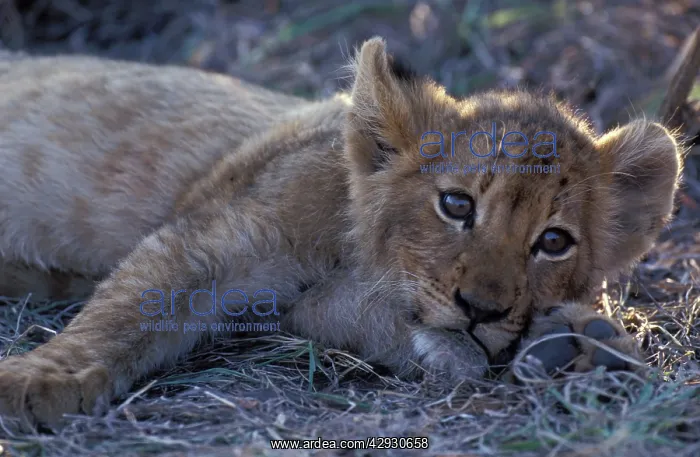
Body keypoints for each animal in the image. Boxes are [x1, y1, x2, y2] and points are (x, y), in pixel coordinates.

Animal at [0, 37, 683, 431]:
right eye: (456, 204)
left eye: (554, 242)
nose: (482, 311)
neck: (352, 254)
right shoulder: (215, 238)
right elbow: (126, 312)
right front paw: (30, 385)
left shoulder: (300, 311)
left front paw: (579, 346)